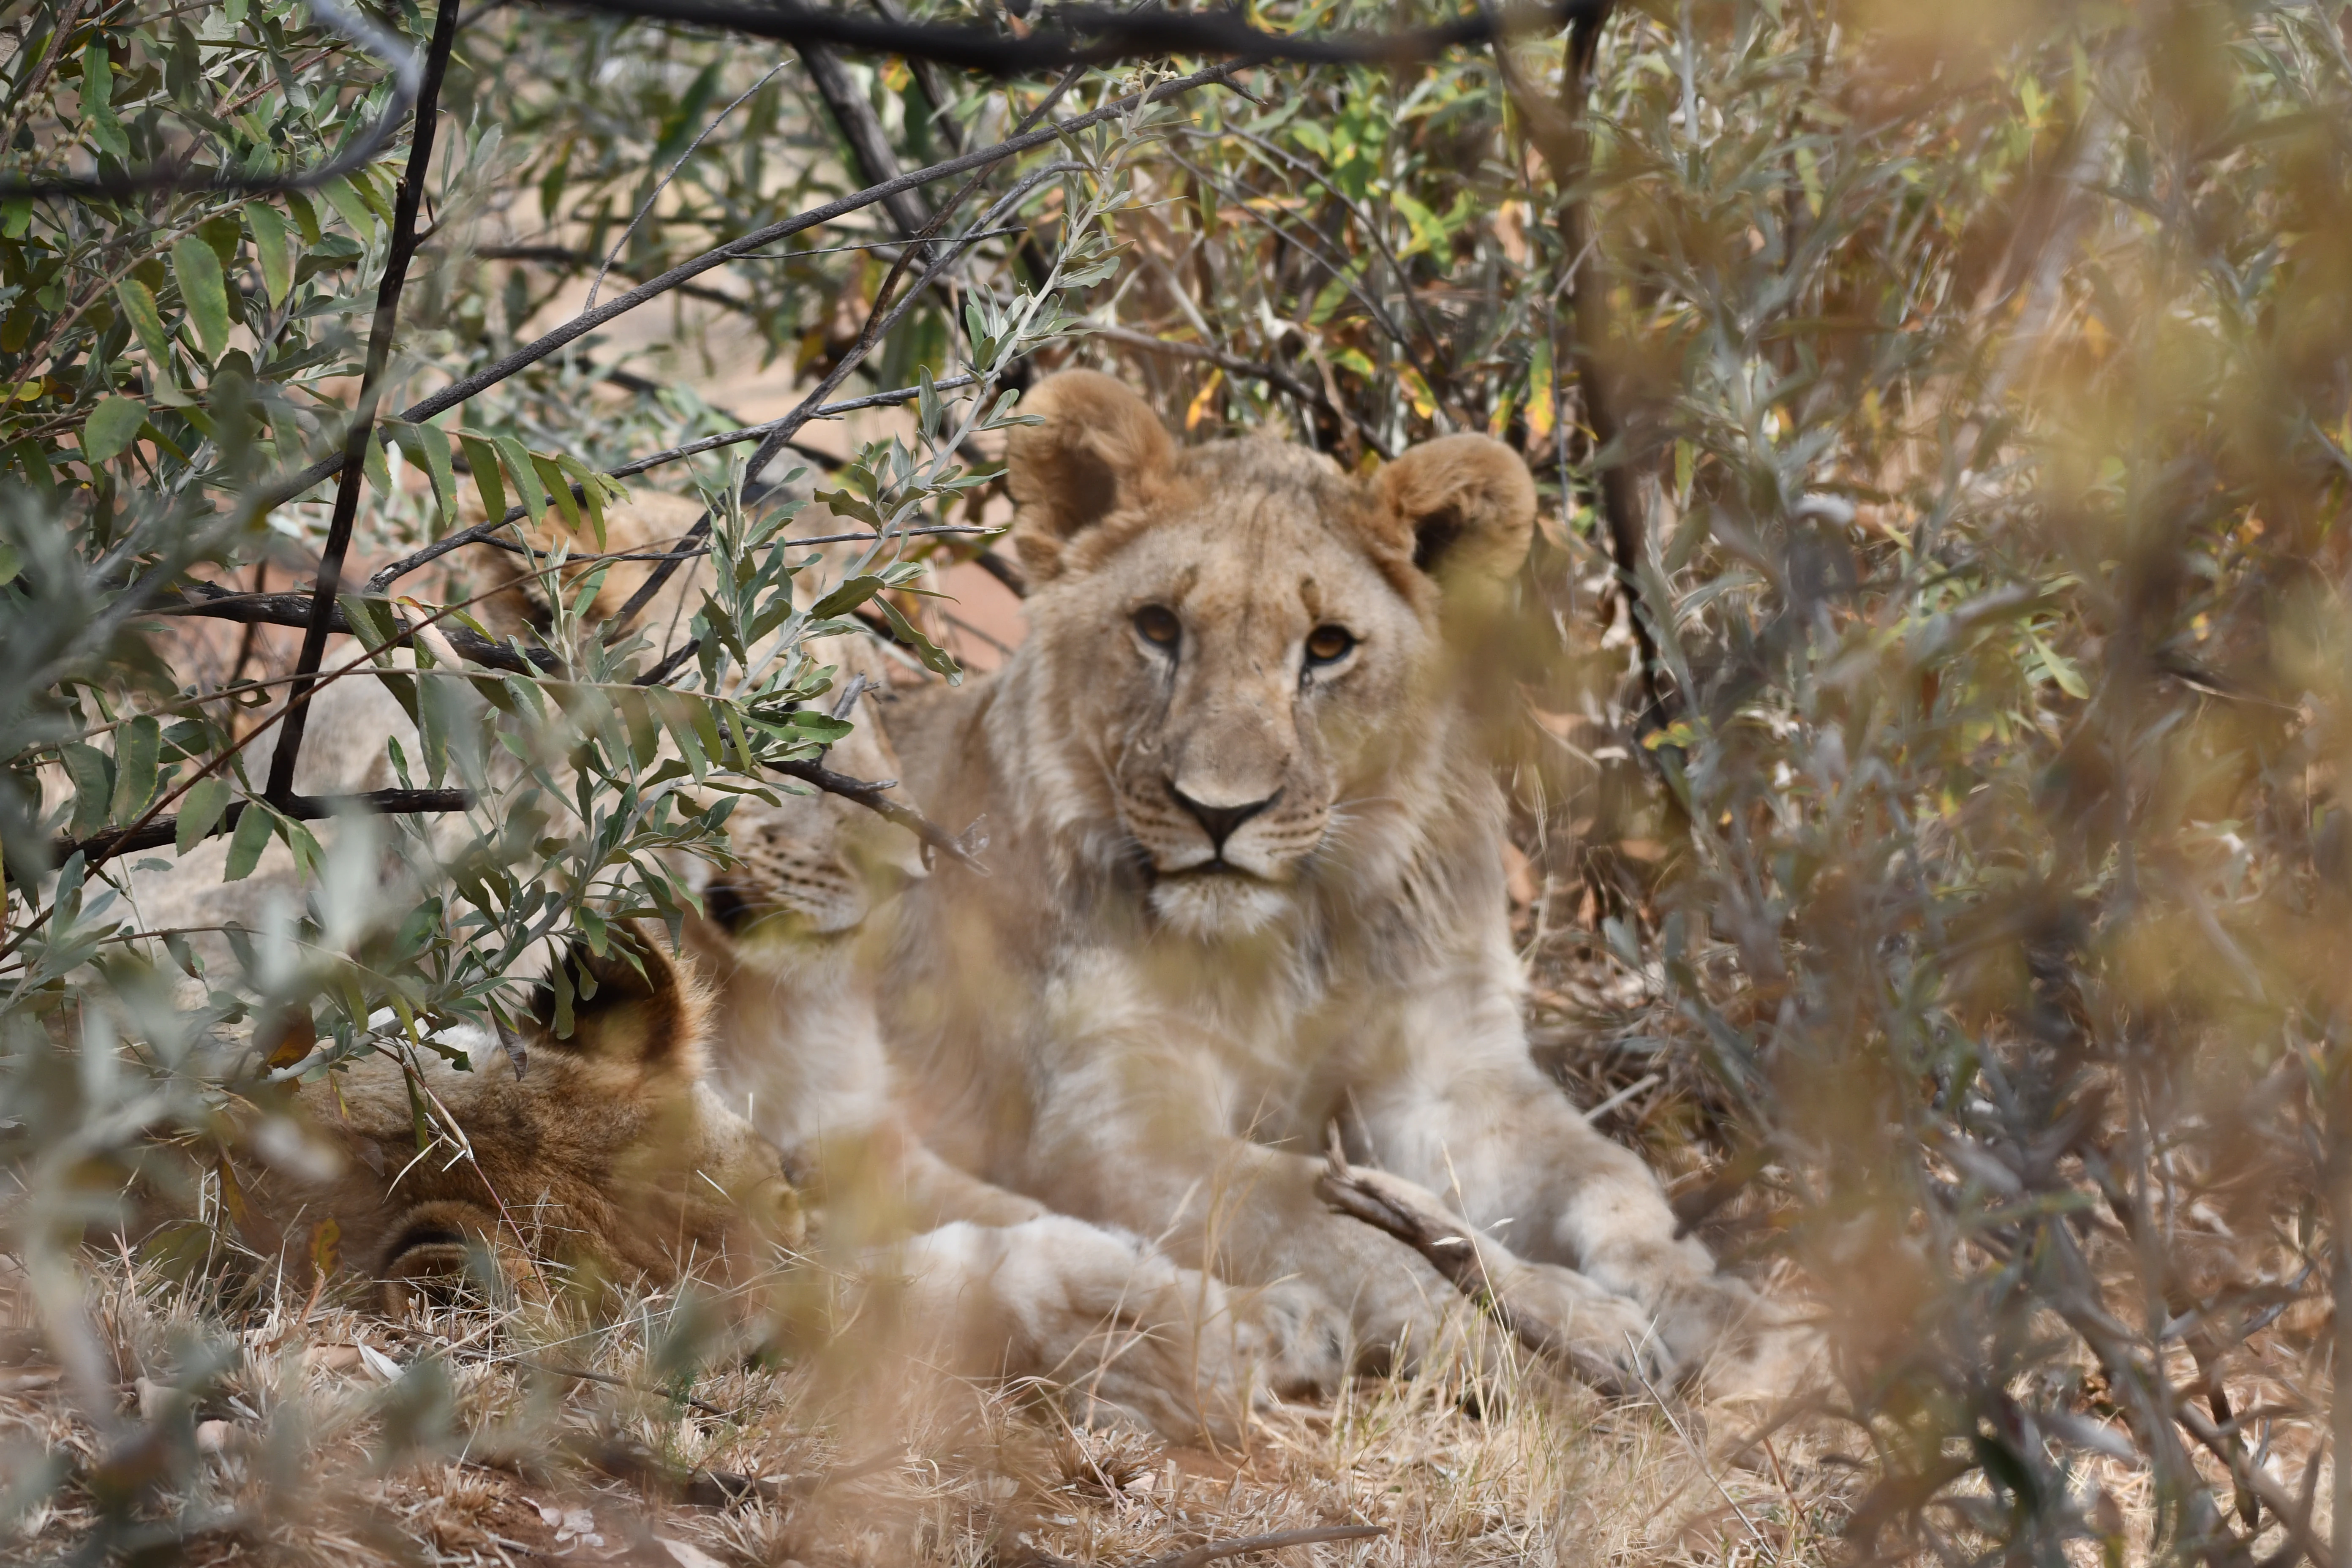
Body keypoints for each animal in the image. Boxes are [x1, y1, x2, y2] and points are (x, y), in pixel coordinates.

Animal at [872, 370, 1759, 1386]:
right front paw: (1515, 1341)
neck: (1295, 936)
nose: (1220, 812)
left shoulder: (1452, 1070)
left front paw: (1713, 1308)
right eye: (1157, 627)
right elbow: (1318, 1218)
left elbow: (1610, 1176)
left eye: (1329, 647)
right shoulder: (1106, 1122)